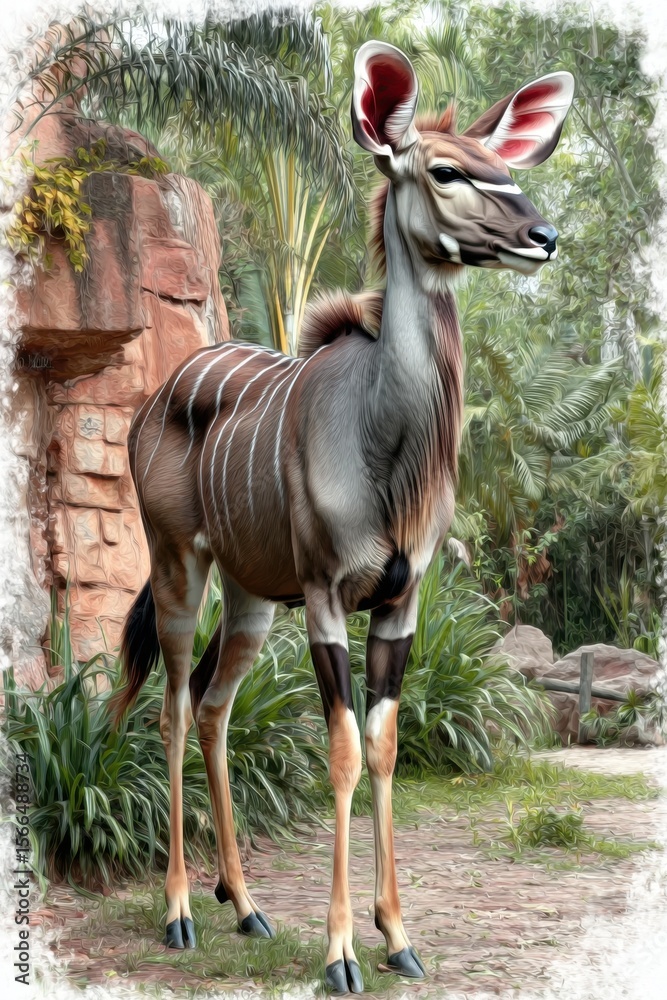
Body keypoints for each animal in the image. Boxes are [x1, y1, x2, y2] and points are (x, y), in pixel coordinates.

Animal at [112, 42, 573, 994]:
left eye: (506, 168)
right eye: (444, 170)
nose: (542, 237)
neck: (384, 441)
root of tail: (157, 400)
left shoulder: (399, 601)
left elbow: (387, 744)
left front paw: (397, 937)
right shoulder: (327, 597)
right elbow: (344, 751)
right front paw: (339, 953)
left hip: (251, 600)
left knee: (213, 706)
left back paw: (244, 905)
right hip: (179, 568)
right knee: (170, 708)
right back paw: (179, 911)